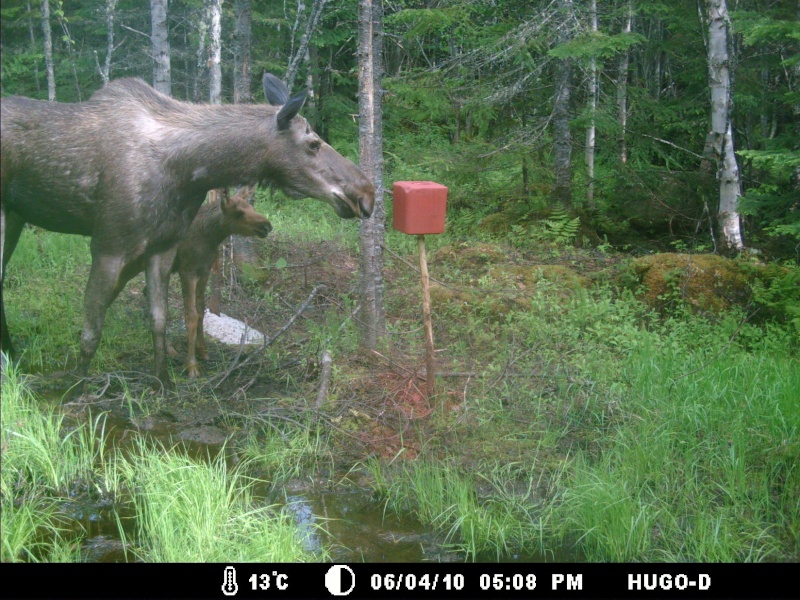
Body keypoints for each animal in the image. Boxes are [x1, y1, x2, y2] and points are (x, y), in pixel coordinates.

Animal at [172, 185, 272, 378]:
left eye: (251, 207)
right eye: (239, 212)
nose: (267, 225)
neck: (210, 237)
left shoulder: (204, 270)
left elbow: (201, 310)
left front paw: (202, 351)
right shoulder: (187, 271)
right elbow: (191, 315)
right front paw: (191, 365)